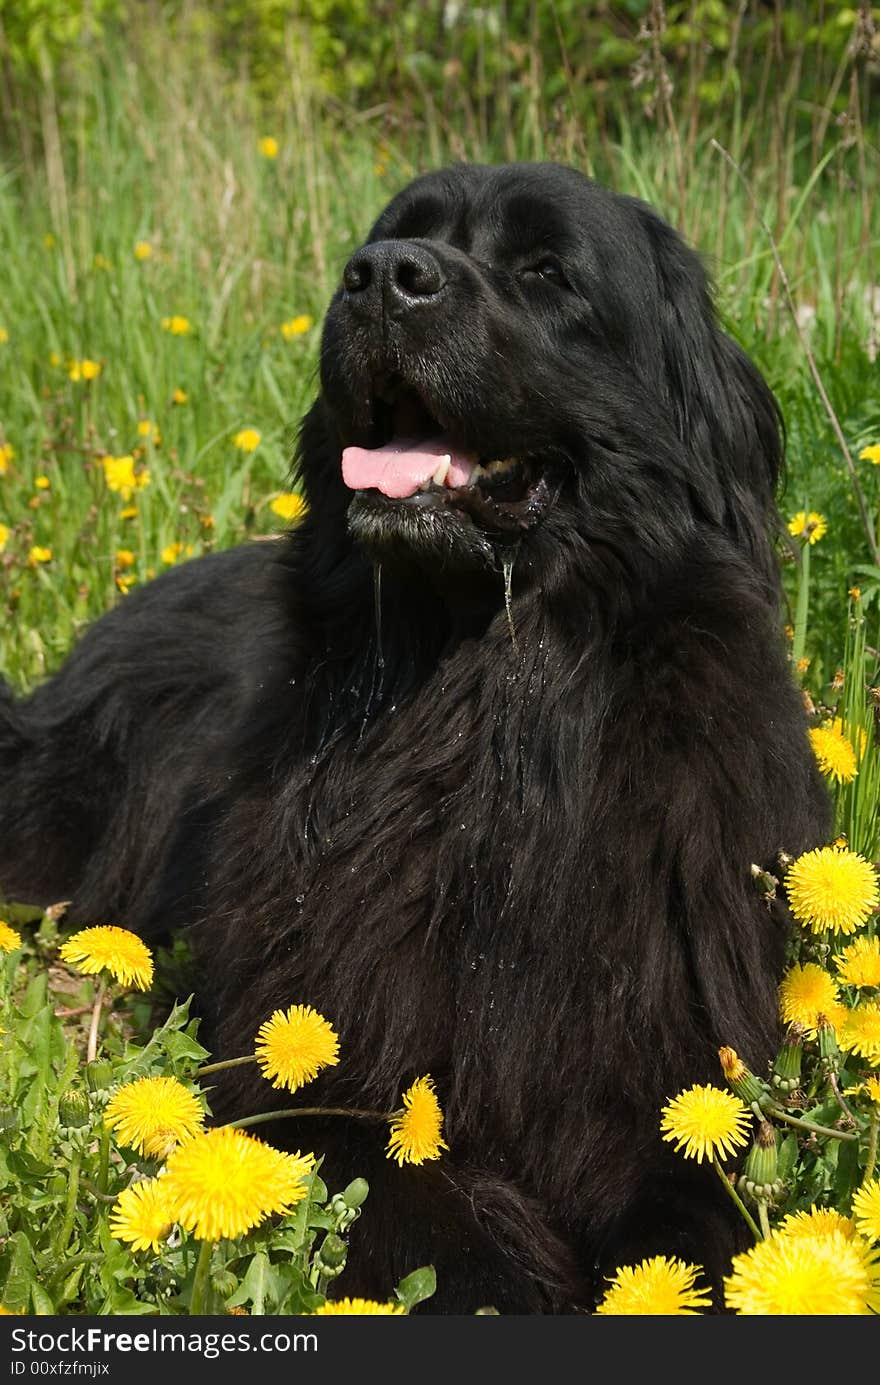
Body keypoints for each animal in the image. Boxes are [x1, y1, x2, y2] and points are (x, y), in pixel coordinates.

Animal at [0, 159, 831, 1307]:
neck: (485, 704)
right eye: (398, 233)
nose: (382, 277)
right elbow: (423, 1204)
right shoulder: (314, 1066)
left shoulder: (669, 1067)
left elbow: (692, 1228)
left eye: (546, 272)